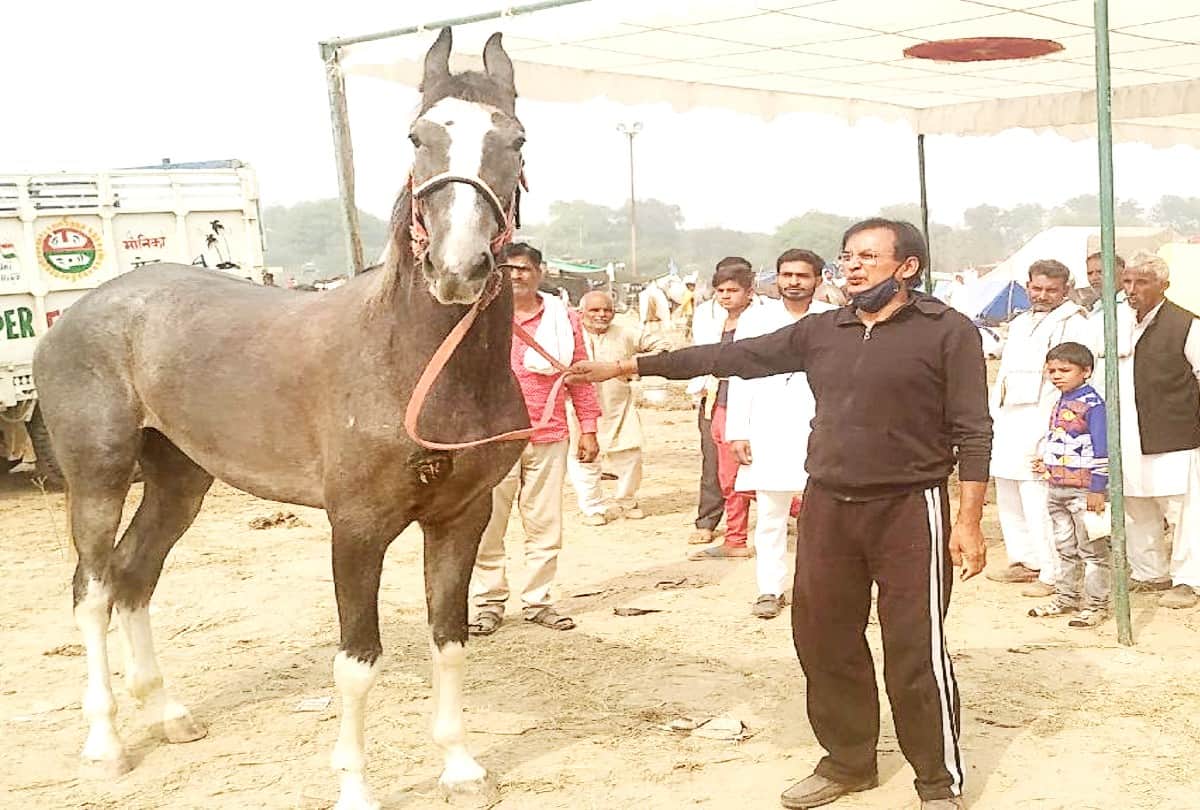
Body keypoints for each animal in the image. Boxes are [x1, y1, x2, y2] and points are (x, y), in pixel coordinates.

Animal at [33, 27, 528, 809]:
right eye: (417, 138)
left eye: (515, 140)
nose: (459, 270)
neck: (412, 362)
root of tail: (84, 311)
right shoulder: (356, 525)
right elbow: (357, 659)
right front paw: (355, 787)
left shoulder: (462, 515)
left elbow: (448, 638)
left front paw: (460, 767)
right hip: (98, 477)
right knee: (93, 590)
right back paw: (106, 742)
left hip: (180, 479)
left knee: (136, 575)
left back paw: (168, 714)